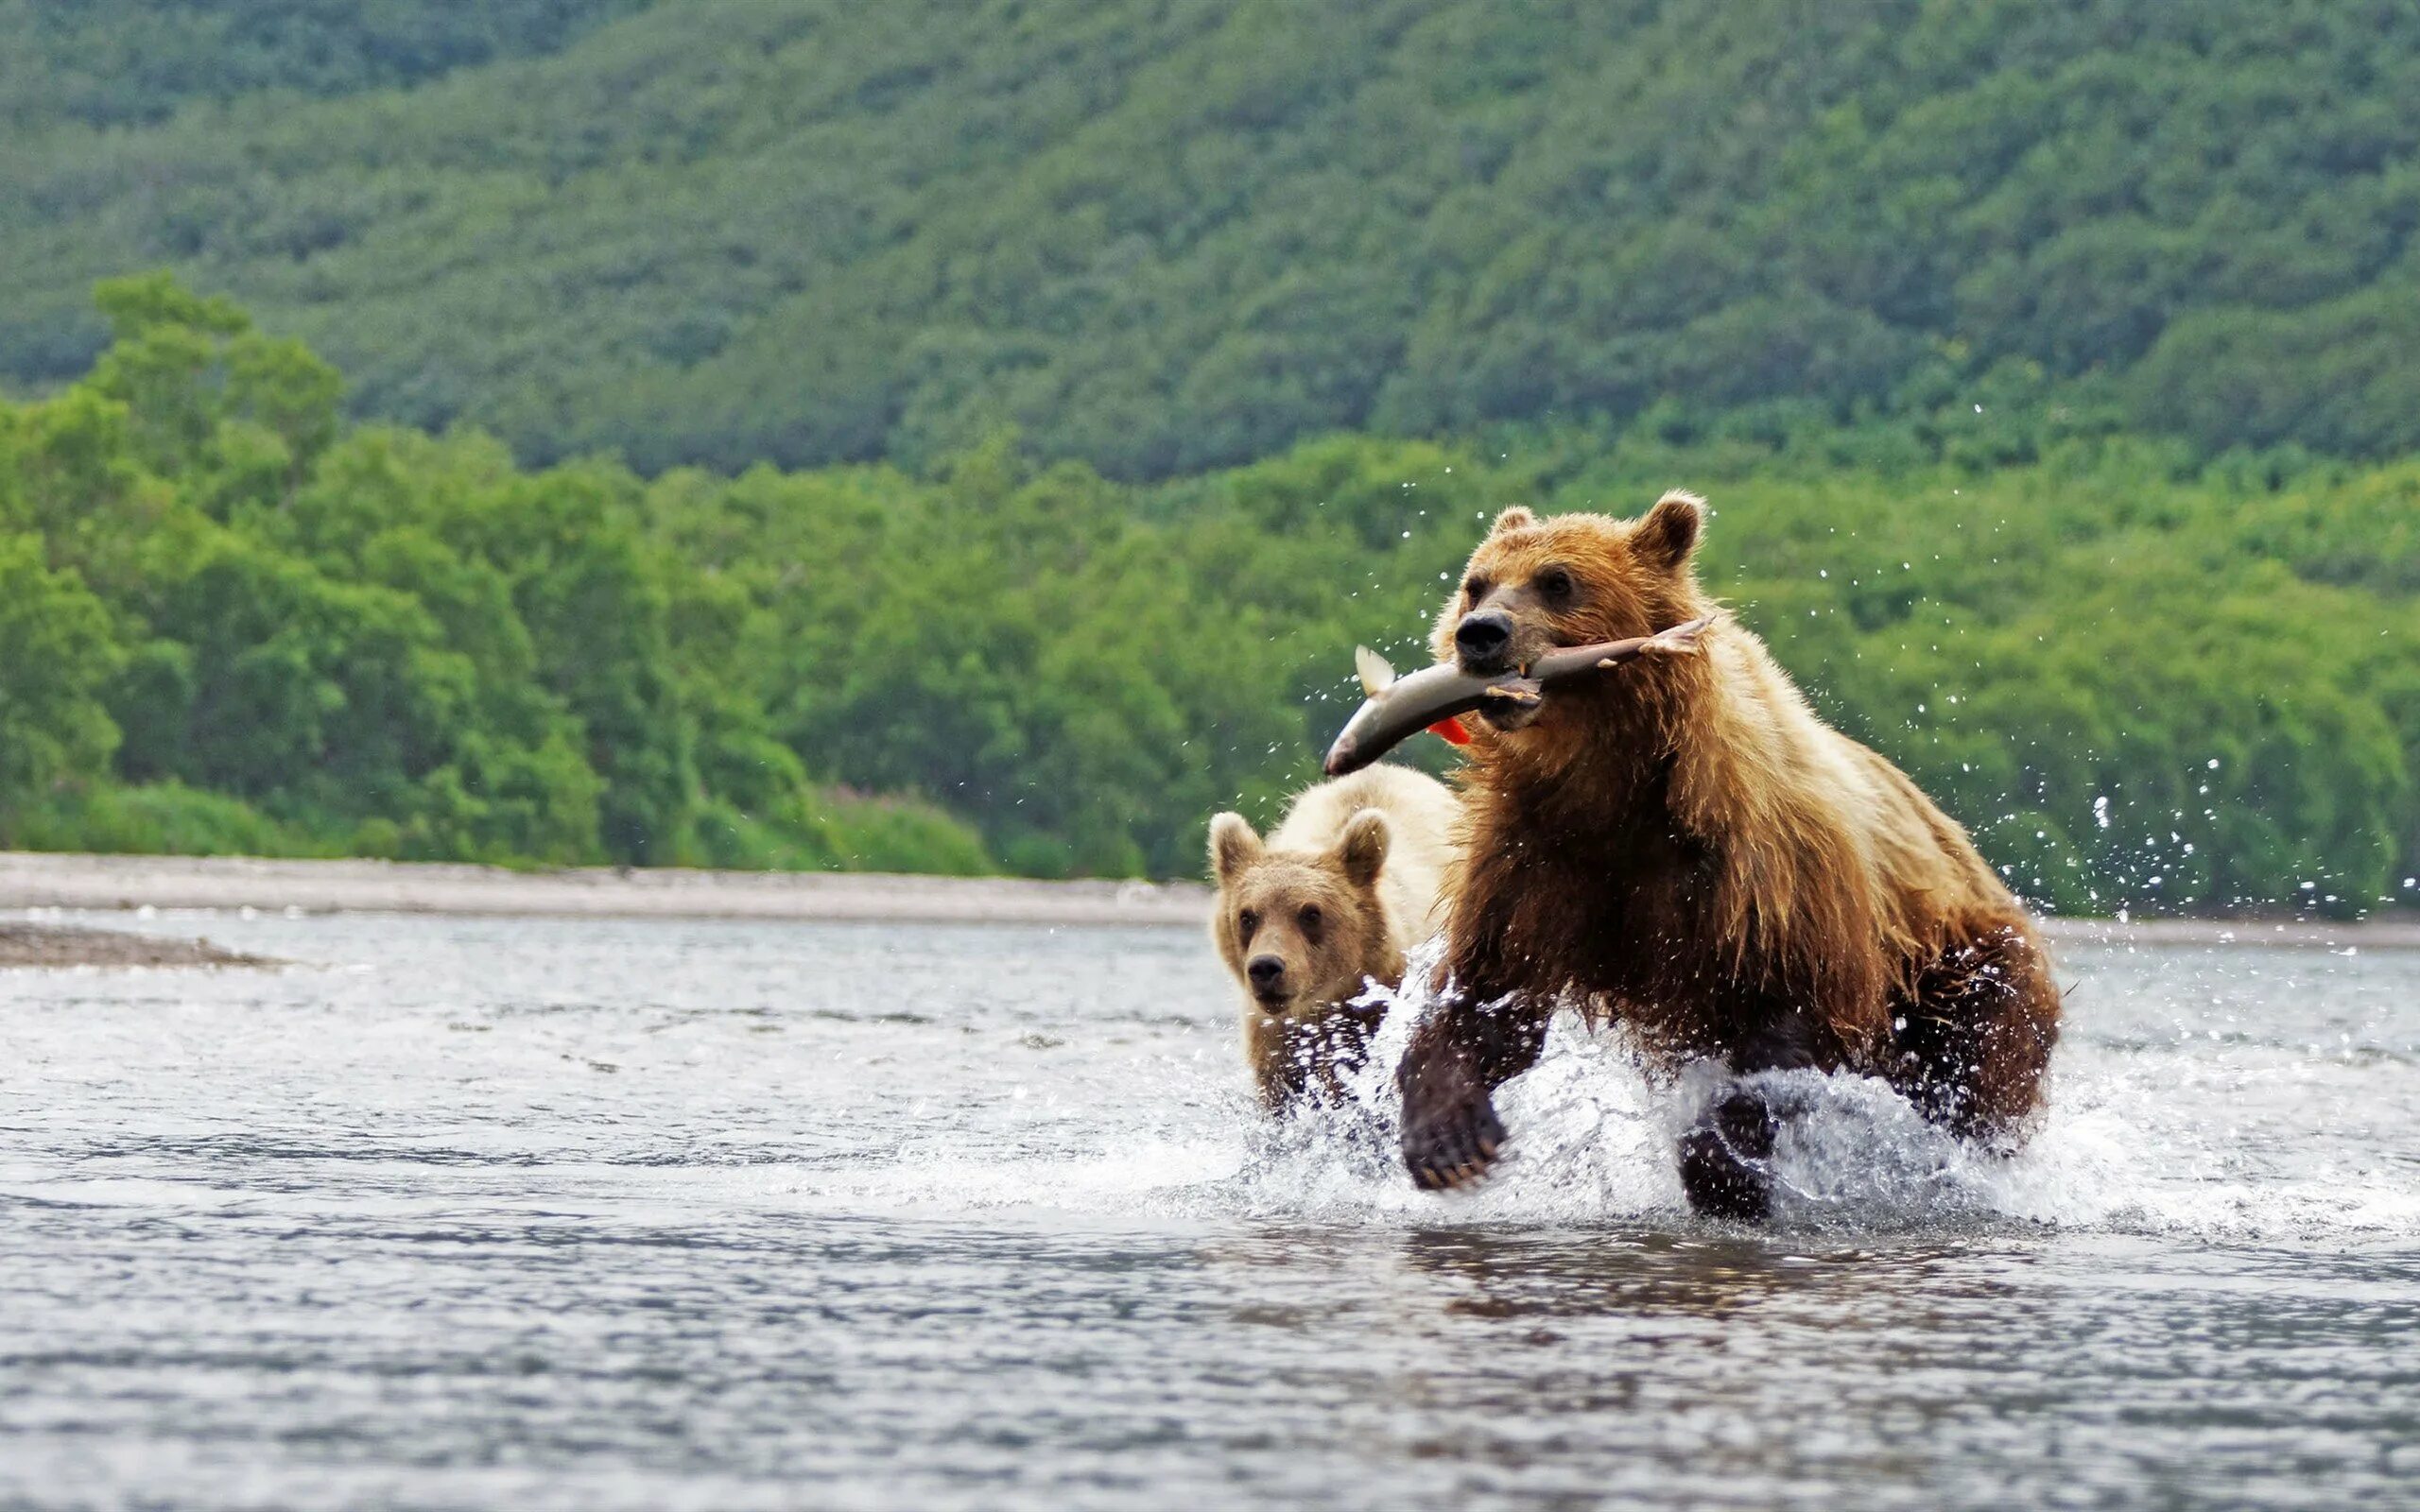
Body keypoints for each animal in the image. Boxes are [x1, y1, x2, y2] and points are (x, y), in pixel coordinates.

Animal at [1403, 495, 2062, 1214]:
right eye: (1477, 582)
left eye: (1557, 581)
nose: (1480, 634)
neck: (1617, 779)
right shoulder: (1537, 855)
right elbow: (1491, 993)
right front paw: (1448, 1137)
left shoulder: (1764, 865)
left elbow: (1783, 1023)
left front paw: (1722, 1165)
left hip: (1967, 969)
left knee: (1973, 1081)